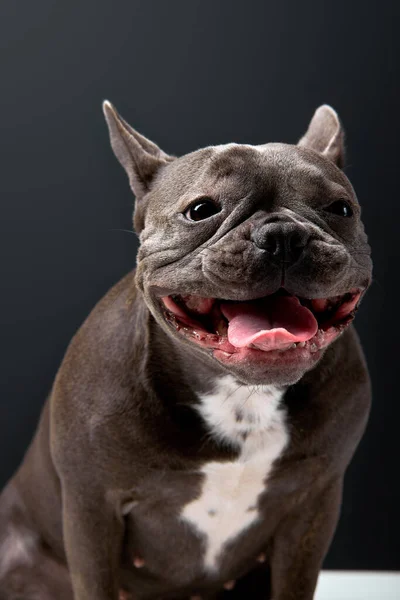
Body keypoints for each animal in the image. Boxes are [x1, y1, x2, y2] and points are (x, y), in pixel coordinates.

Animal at [1, 104, 374, 600]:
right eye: (200, 210)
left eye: (341, 209)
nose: (283, 235)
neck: (241, 398)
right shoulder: (91, 509)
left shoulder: (312, 507)